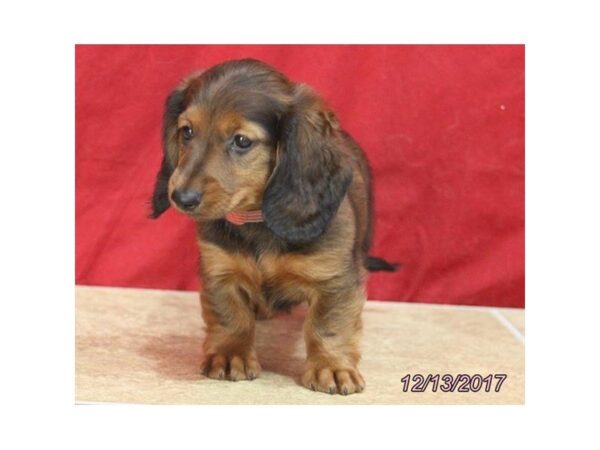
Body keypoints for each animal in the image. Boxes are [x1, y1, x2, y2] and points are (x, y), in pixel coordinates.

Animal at [150, 59, 396, 394]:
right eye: (186, 131)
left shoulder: (335, 280)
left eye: (242, 141)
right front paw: (230, 354)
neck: (259, 220)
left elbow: (327, 326)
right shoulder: (220, 270)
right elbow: (230, 316)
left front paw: (331, 367)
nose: (181, 197)